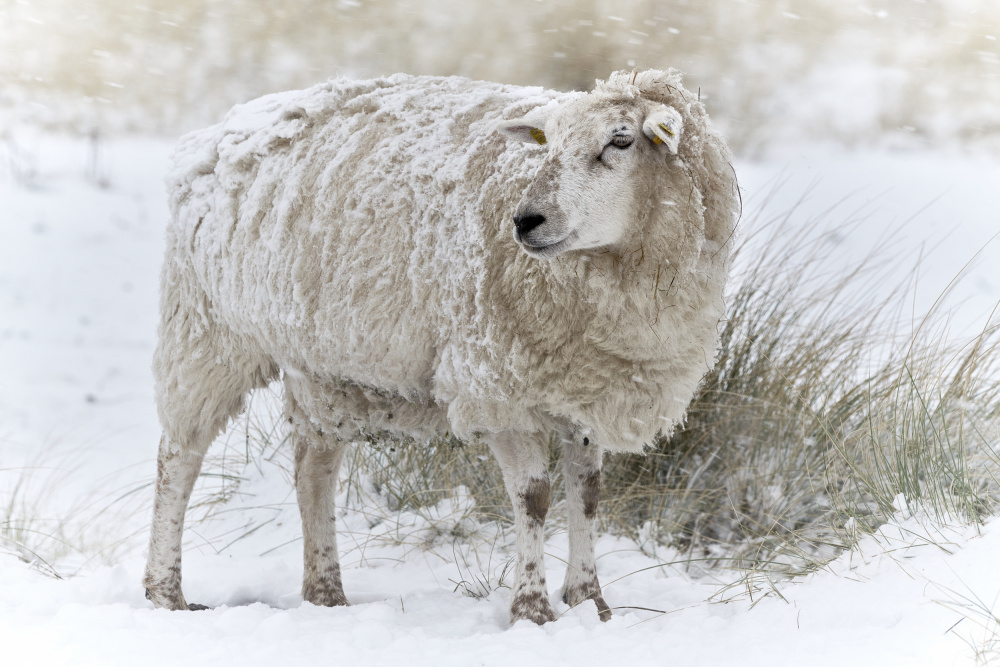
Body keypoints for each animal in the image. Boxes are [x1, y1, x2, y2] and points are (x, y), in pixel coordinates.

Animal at [143, 69, 739, 625]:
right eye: (546, 142)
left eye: (620, 141)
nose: (526, 221)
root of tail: (220, 130)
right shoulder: (497, 386)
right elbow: (534, 497)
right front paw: (532, 610)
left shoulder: (585, 388)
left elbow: (588, 495)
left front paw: (590, 602)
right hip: (207, 329)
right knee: (179, 457)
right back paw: (166, 592)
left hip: (321, 360)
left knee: (314, 466)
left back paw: (326, 594)